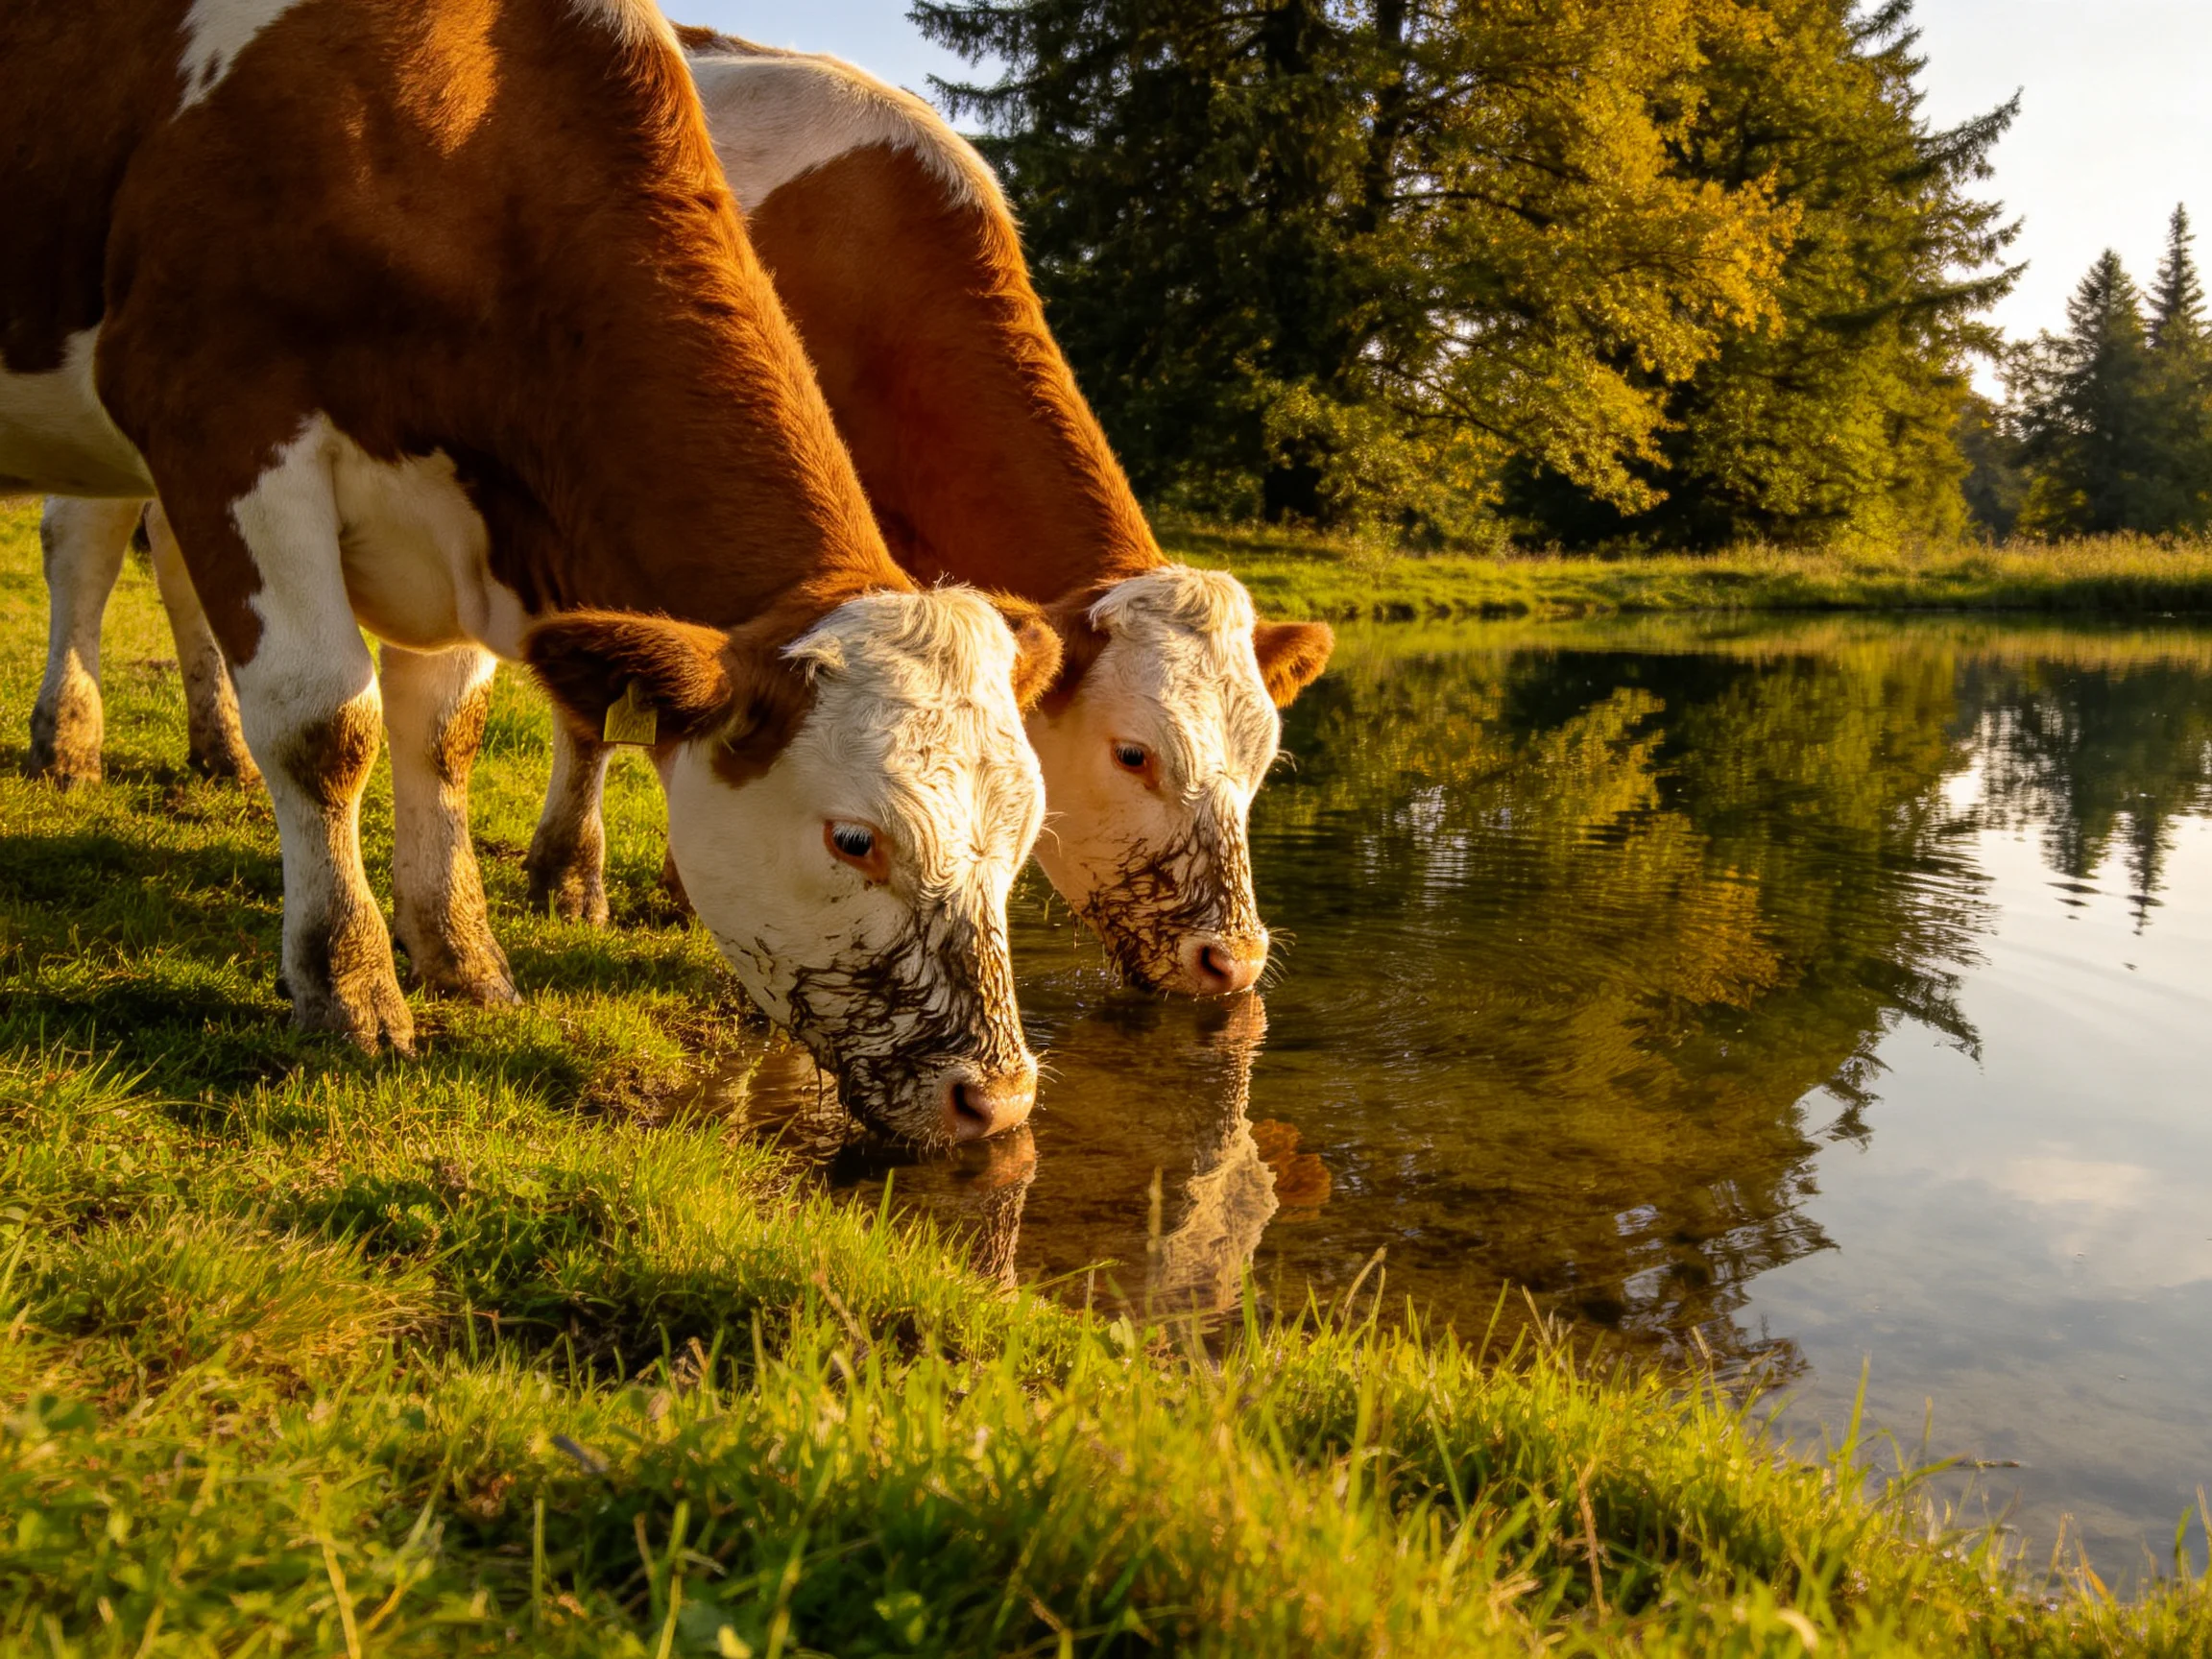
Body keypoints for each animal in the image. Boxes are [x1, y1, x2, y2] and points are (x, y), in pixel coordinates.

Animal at [2, 0, 1056, 1147]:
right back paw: (72, 742)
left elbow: (443, 734)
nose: (998, 1098)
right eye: (855, 839)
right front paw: (350, 986)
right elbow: (327, 725)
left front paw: (463, 958)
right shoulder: (218, 413)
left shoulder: (469, 518)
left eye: (1021, 836)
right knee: (86, 551)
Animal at [33, 27, 1337, 1000]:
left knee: (185, 570)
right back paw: (69, 740)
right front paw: (592, 875)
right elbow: (613, 703)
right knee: (85, 545)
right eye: (1134, 754)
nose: (1232, 963)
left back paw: (216, 748)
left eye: (1264, 763)